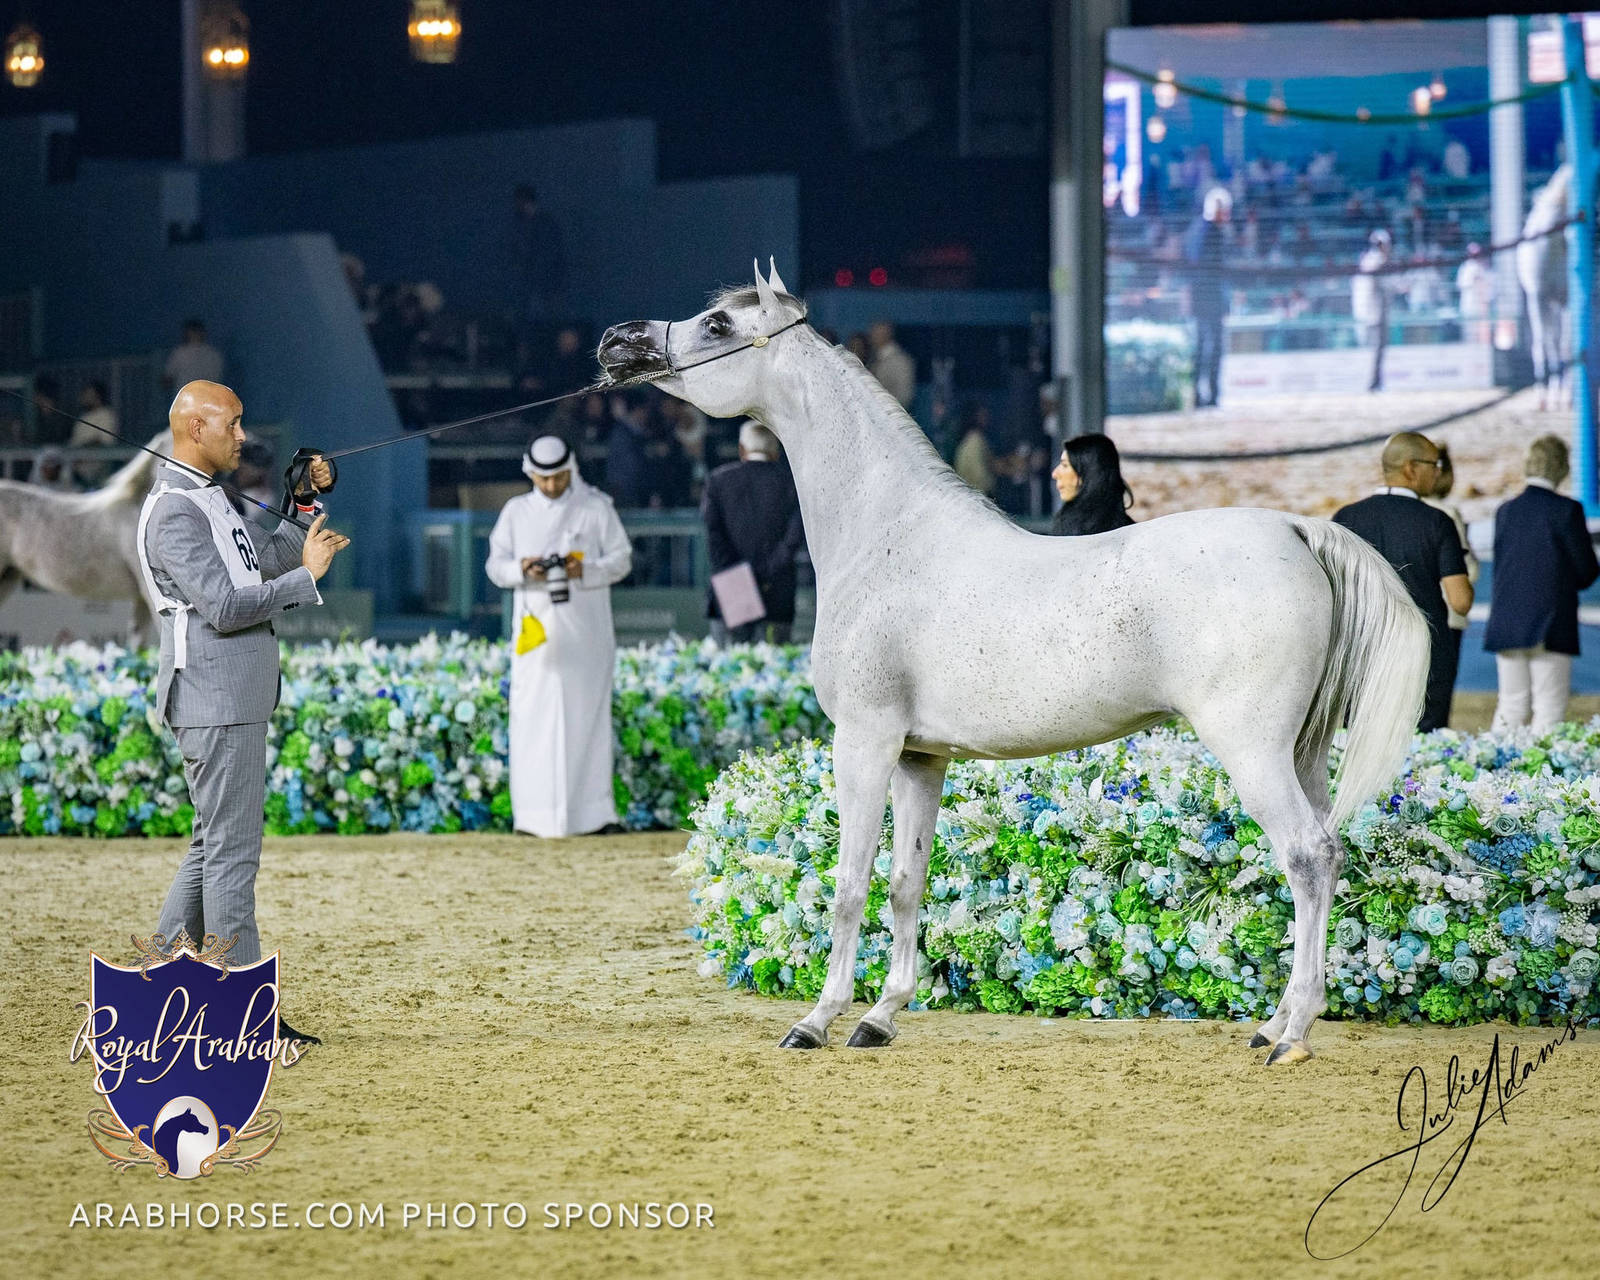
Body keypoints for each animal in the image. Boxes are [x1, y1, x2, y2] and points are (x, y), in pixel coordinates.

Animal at [598, 262, 1431, 1066]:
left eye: (717, 324)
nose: (617, 341)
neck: (887, 534)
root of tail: (1297, 531)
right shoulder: (920, 758)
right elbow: (907, 883)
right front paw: (881, 1017)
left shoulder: (864, 741)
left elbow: (849, 884)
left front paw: (817, 1021)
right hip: (1303, 753)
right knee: (1325, 856)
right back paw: (1274, 1025)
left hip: (1252, 750)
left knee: (1308, 857)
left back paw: (1292, 1034)